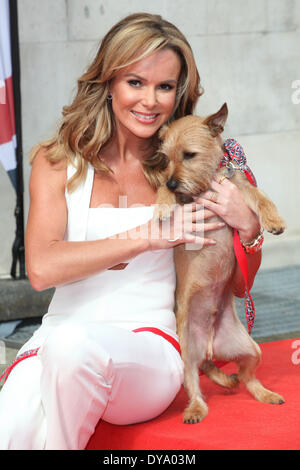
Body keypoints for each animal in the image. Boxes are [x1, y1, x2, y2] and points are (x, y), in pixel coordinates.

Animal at [155, 103, 286, 426]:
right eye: (165, 158)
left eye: (189, 154)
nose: (173, 182)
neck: (205, 186)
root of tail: (209, 347)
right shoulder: (183, 196)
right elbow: (164, 191)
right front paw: (162, 204)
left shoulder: (239, 189)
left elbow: (261, 198)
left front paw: (273, 220)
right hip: (185, 357)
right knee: (194, 384)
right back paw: (195, 410)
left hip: (251, 349)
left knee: (247, 377)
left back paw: (265, 394)